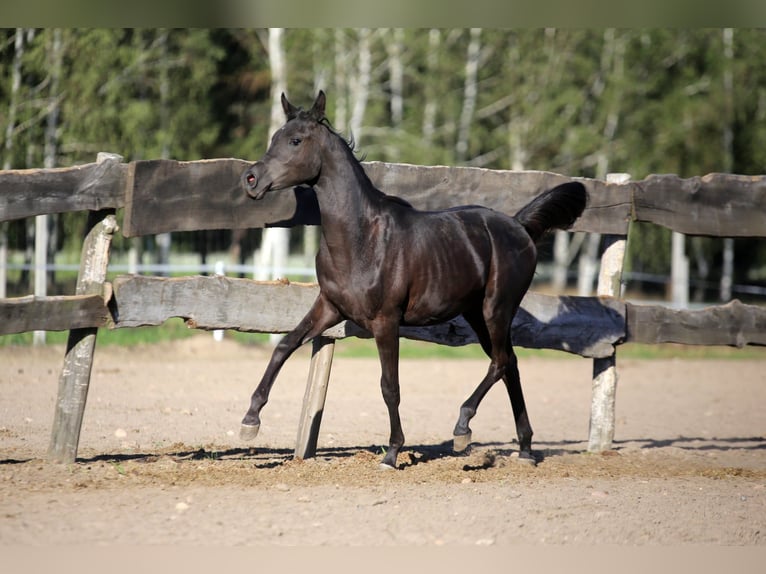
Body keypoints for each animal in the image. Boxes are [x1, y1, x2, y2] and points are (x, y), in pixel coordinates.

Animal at [240, 91, 587, 469]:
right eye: (275, 137)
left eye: (295, 140)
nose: (251, 179)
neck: (360, 239)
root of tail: (519, 226)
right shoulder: (330, 308)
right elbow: (284, 346)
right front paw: (250, 421)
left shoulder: (386, 321)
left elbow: (389, 385)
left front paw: (392, 452)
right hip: (476, 314)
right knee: (511, 364)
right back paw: (524, 448)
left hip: (497, 308)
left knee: (499, 362)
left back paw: (463, 428)